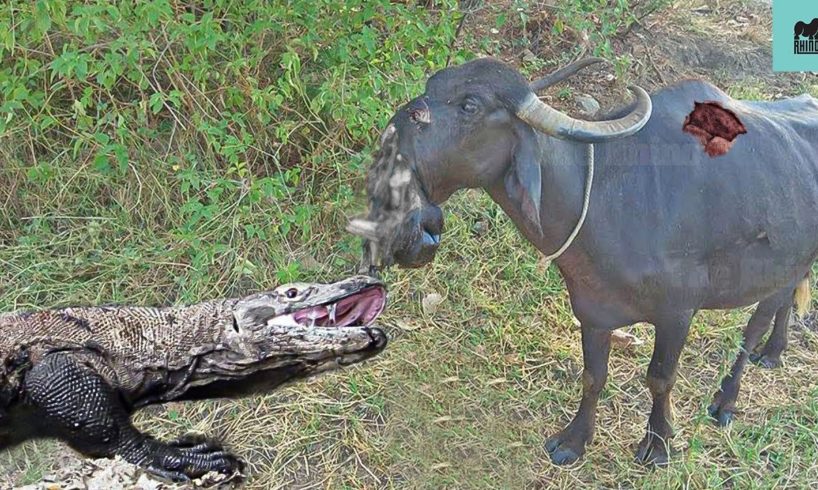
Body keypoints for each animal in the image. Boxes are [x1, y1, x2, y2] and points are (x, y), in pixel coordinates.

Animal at [351, 57, 818, 465]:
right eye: (431, 87)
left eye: (470, 105)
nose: (414, 228)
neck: (610, 199)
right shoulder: (593, 312)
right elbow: (594, 377)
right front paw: (574, 441)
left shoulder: (678, 314)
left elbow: (660, 378)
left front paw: (657, 444)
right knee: (783, 302)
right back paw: (773, 352)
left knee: (753, 325)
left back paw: (726, 400)